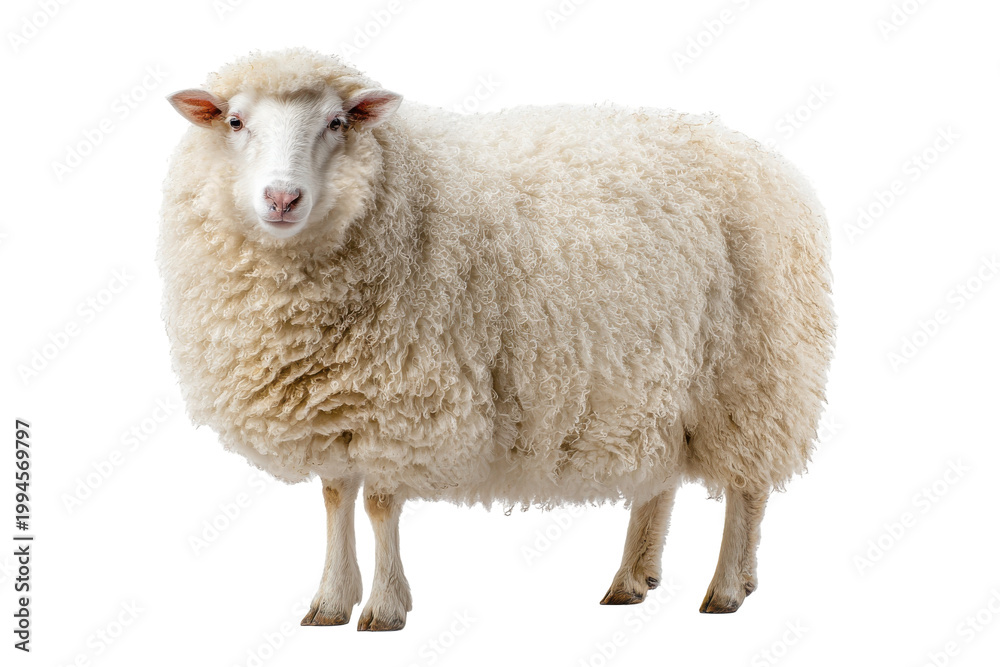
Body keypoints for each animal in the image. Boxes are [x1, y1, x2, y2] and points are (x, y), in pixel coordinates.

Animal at [159, 48, 834, 631]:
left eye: (336, 121)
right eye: (236, 121)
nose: (281, 197)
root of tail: (769, 161)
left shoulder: (402, 403)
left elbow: (379, 504)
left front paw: (384, 608)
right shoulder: (339, 401)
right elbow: (334, 498)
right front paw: (329, 601)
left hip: (754, 375)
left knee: (747, 489)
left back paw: (727, 588)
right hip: (658, 382)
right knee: (660, 477)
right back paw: (632, 579)